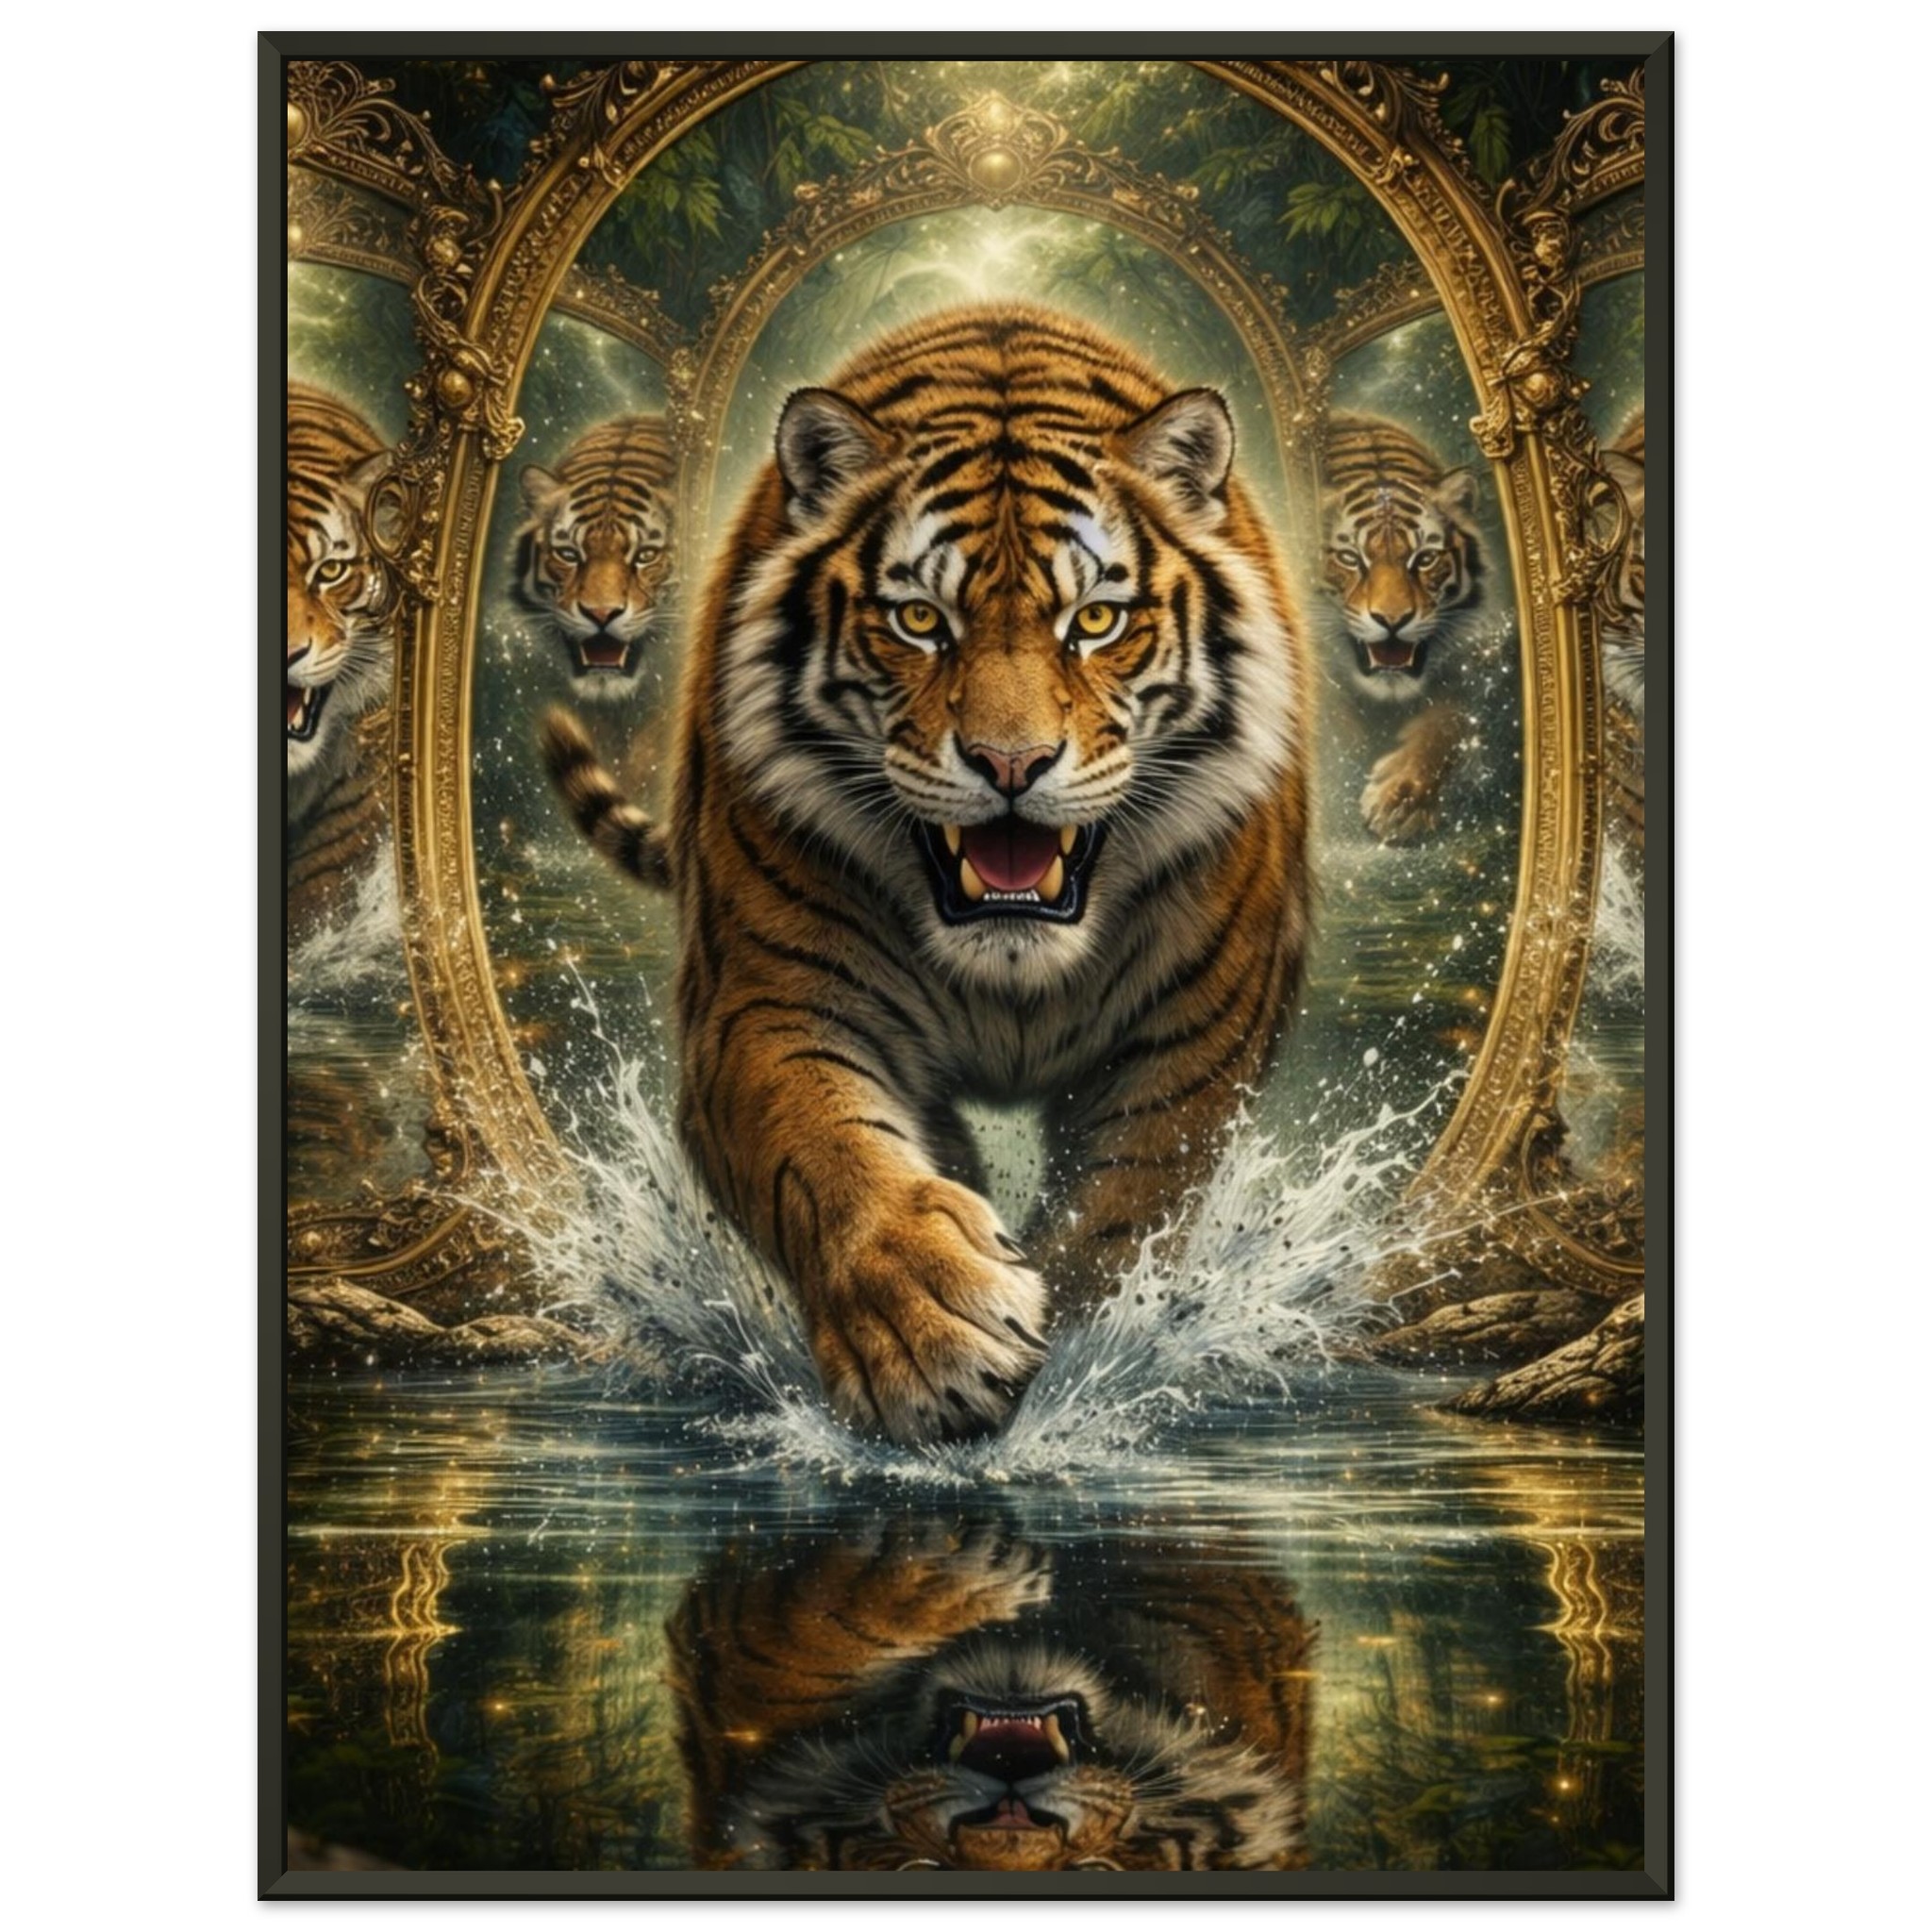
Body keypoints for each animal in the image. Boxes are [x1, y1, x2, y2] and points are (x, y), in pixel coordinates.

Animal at [544, 304, 1311, 1446]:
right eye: (919, 622)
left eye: (1094, 622)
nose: (1010, 764)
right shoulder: (763, 1006)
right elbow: (826, 1150)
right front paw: (929, 1330)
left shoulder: (1193, 1043)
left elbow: (1122, 1209)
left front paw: (1080, 1360)